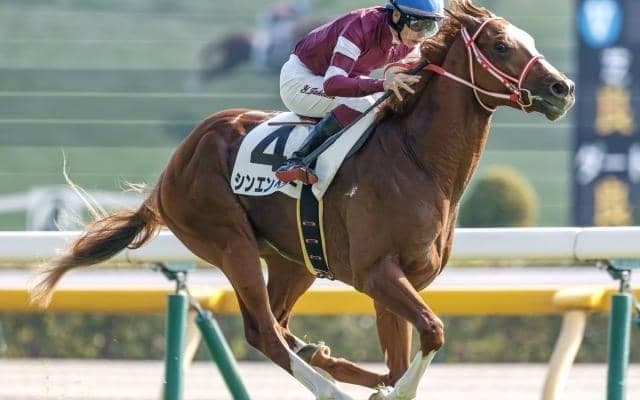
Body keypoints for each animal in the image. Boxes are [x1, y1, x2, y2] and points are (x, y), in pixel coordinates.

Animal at [31, 1, 574, 399]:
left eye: (528, 42)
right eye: (501, 45)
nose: (562, 88)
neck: (418, 162)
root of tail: (169, 172)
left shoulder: (399, 282)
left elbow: (405, 352)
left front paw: (385, 383)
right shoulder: (378, 273)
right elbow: (434, 331)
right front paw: (392, 389)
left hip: (295, 261)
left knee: (278, 322)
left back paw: (326, 360)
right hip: (229, 243)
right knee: (264, 333)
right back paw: (330, 385)